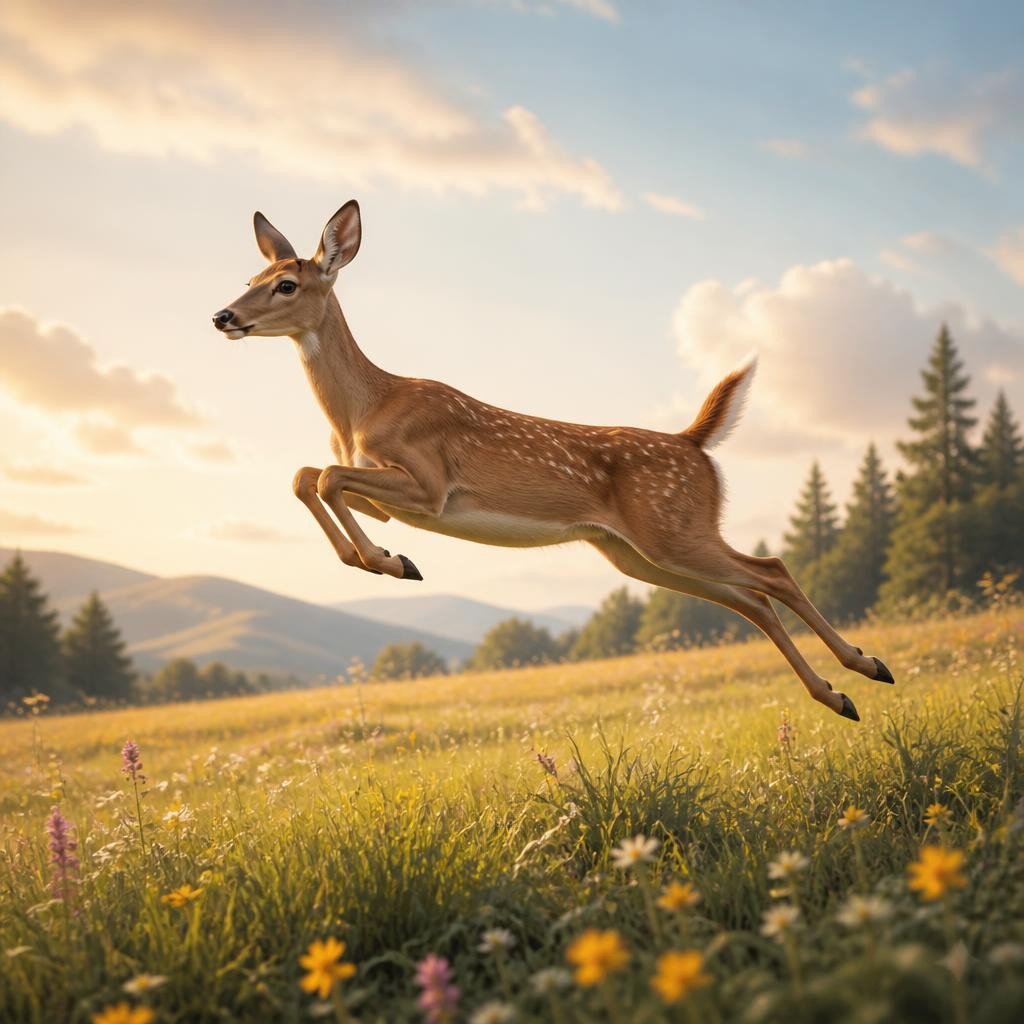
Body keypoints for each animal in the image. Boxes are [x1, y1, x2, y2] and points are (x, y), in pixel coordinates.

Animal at [212, 200, 895, 722]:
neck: (363, 409)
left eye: (286, 284)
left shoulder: (430, 483)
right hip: (634, 551)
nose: (223, 315)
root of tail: (694, 443)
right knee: (749, 600)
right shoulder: (390, 497)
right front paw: (386, 558)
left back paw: (867, 666)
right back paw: (839, 696)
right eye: (250, 277)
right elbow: (308, 475)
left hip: (673, 527)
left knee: (771, 571)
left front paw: (390, 563)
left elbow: (324, 475)